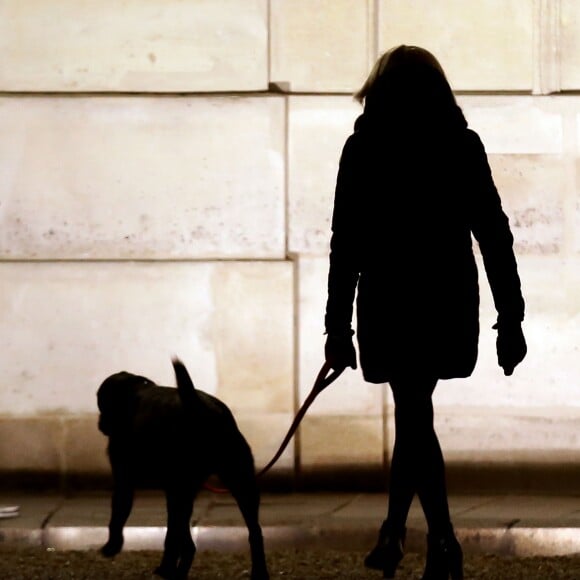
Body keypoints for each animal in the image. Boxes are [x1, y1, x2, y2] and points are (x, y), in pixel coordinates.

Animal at [97, 358, 270, 580]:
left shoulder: (124, 482)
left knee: (183, 540)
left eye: (101, 402)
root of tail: (201, 408)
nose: (100, 423)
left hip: (183, 489)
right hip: (240, 485)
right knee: (253, 533)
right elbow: (174, 535)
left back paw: (172, 572)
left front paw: (112, 547)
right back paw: (257, 573)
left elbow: (117, 518)